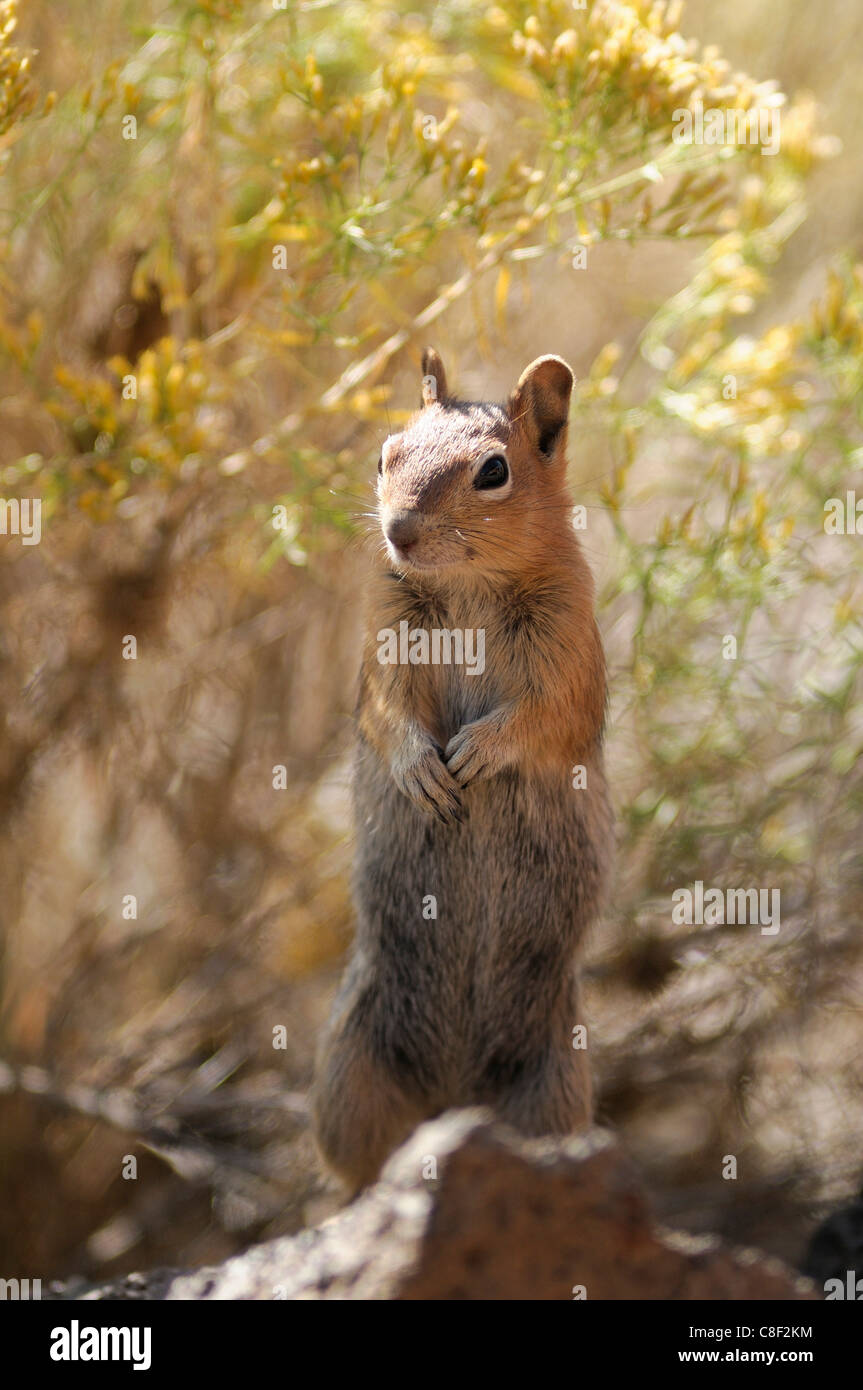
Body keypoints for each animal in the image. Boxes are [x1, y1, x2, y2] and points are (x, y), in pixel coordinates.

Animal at [312, 350, 608, 1195]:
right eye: (384, 454)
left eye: (493, 471)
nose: (399, 532)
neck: (468, 587)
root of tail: (452, 1100)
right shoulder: (382, 641)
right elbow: (385, 714)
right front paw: (423, 772)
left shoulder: (570, 651)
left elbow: (545, 717)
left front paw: (477, 752)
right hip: (348, 1072)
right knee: (360, 1168)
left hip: (554, 1081)